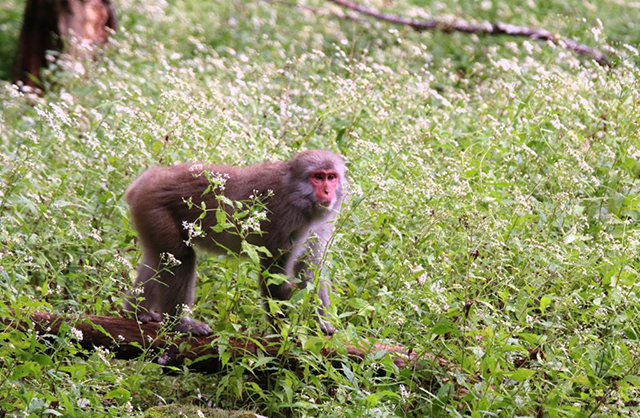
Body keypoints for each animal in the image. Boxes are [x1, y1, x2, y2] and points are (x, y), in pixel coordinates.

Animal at [123, 150, 348, 336]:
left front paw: (321, 325)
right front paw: (283, 334)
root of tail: (145, 180)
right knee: (181, 256)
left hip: (148, 215)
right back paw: (179, 324)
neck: (297, 194)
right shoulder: (286, 219)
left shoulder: (319, 224)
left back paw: (137, 311)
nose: (327, 192)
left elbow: (311, 271)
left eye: (331, 177)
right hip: (155, 210)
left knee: (160, 259)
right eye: (318, 177)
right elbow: (273, 274)